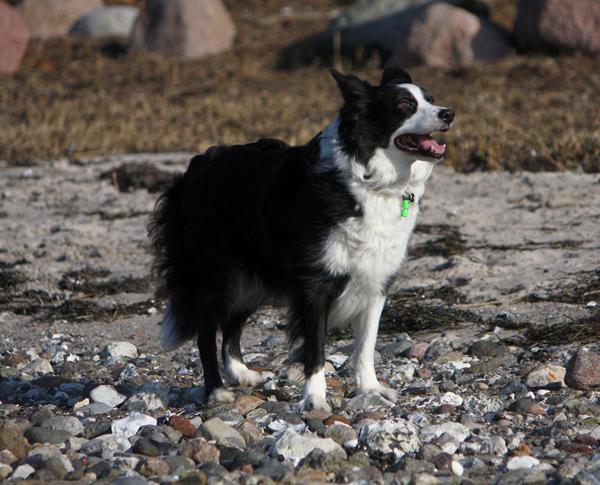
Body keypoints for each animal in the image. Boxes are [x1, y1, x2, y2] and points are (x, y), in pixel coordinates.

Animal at [148, 64, 452, 410]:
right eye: (404, 105)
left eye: (431, 99)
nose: (449, 114)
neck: (371, 180)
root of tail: (197, 166)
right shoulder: (315, 284)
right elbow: (315, 350)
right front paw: (315, 399)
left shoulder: (376, 281)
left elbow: (365, 347)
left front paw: (370, 389)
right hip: (219, 275)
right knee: (206, 331)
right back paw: (216, 390)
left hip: (252, 278)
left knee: (233, 322)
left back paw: (241, 372)